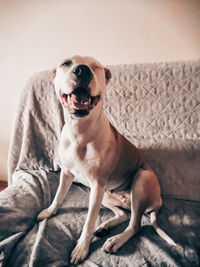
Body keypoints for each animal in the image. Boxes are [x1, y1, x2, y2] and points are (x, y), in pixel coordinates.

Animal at [37, 55, 175, 264]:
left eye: (95, 66)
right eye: (66, 63)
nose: (82, 70)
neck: (80, 131)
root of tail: (158, 200)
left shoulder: (97, 184)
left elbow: (88, 221)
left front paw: (81, 248)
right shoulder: (67, 173)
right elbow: (59, 195)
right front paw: (50, 211)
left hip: (140, 180)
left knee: (135, 224)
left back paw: (115, 240)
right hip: (104, 195)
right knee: (124, 214)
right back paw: (105, 227)